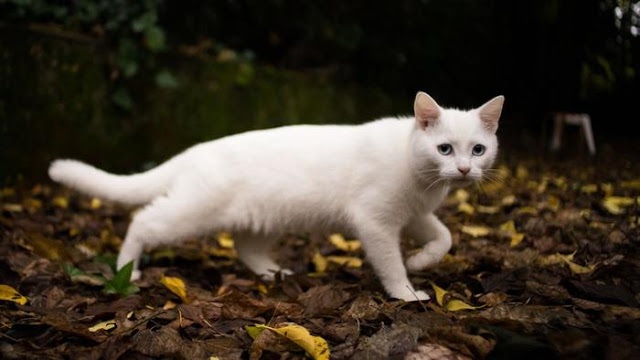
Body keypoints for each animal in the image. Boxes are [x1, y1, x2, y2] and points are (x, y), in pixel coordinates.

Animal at [47, 92, 502, 300]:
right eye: (445, 149)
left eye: (478, 150)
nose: (465, 170)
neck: (423, 179)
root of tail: (194, 150)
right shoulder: (375, 221)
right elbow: (390, 265)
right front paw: (406, 292)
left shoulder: (416, 215)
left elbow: (445, 238)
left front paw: (421, 261)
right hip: (193, 211)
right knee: (142, 220)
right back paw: (128, 270)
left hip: (265, 218)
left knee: (245, 248)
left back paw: (273, 273)